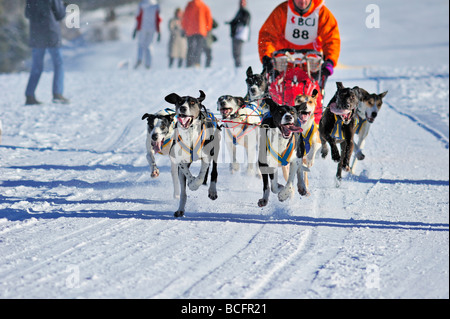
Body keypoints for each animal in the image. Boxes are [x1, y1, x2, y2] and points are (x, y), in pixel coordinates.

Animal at [165, 91, 221, 219]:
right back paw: (180, 209)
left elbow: (201, 175)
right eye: (179, 101)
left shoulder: (207, 157)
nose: (183, 108)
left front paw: (194, 184)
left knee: (214, 172)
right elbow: (186, 173)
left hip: (215, 150)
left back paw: (212, 191)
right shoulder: (181, 160)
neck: (190, 134)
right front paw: (191, 182)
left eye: (192, 102)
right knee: (183, 191)